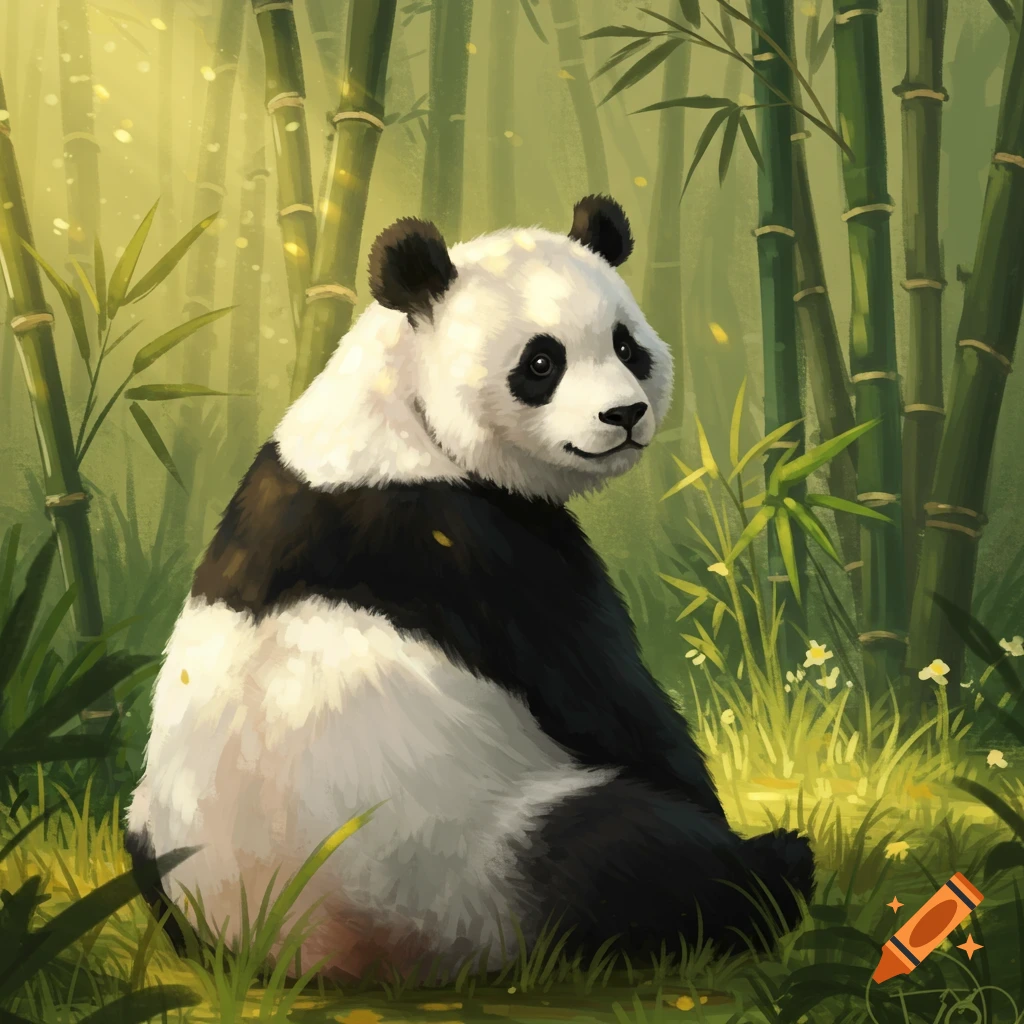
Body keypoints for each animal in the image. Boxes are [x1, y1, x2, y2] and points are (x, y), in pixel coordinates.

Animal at [125, 195, 815, 979]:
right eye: (541, 362)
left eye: (626, 346)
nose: (625, 415)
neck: (402, 420)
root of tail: (298, 956)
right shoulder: (475, 547)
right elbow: (614, 702)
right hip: (473, 867)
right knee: (617, 853)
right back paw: (777, 866)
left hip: (156, 835)